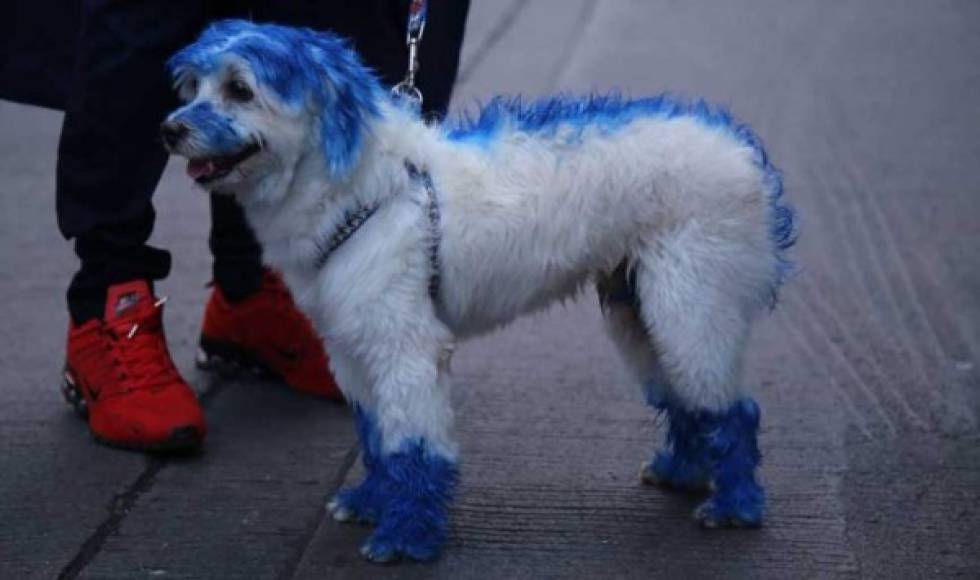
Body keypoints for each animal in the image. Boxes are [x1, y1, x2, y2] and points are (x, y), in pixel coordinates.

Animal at [163, 21, 796, 560]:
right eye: (194, 86)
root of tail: (740, 150)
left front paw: (407, 537)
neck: (365, 187)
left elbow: (414, 444)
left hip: (691, 303)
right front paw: (370, 502)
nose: (170, 128)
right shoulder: (353, 346)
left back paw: (735, 506)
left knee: (733, 408)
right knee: (685, 397)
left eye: (240, 89)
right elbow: (378, 435)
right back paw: (683, 472)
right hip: (640, 310)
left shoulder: (407, 348)